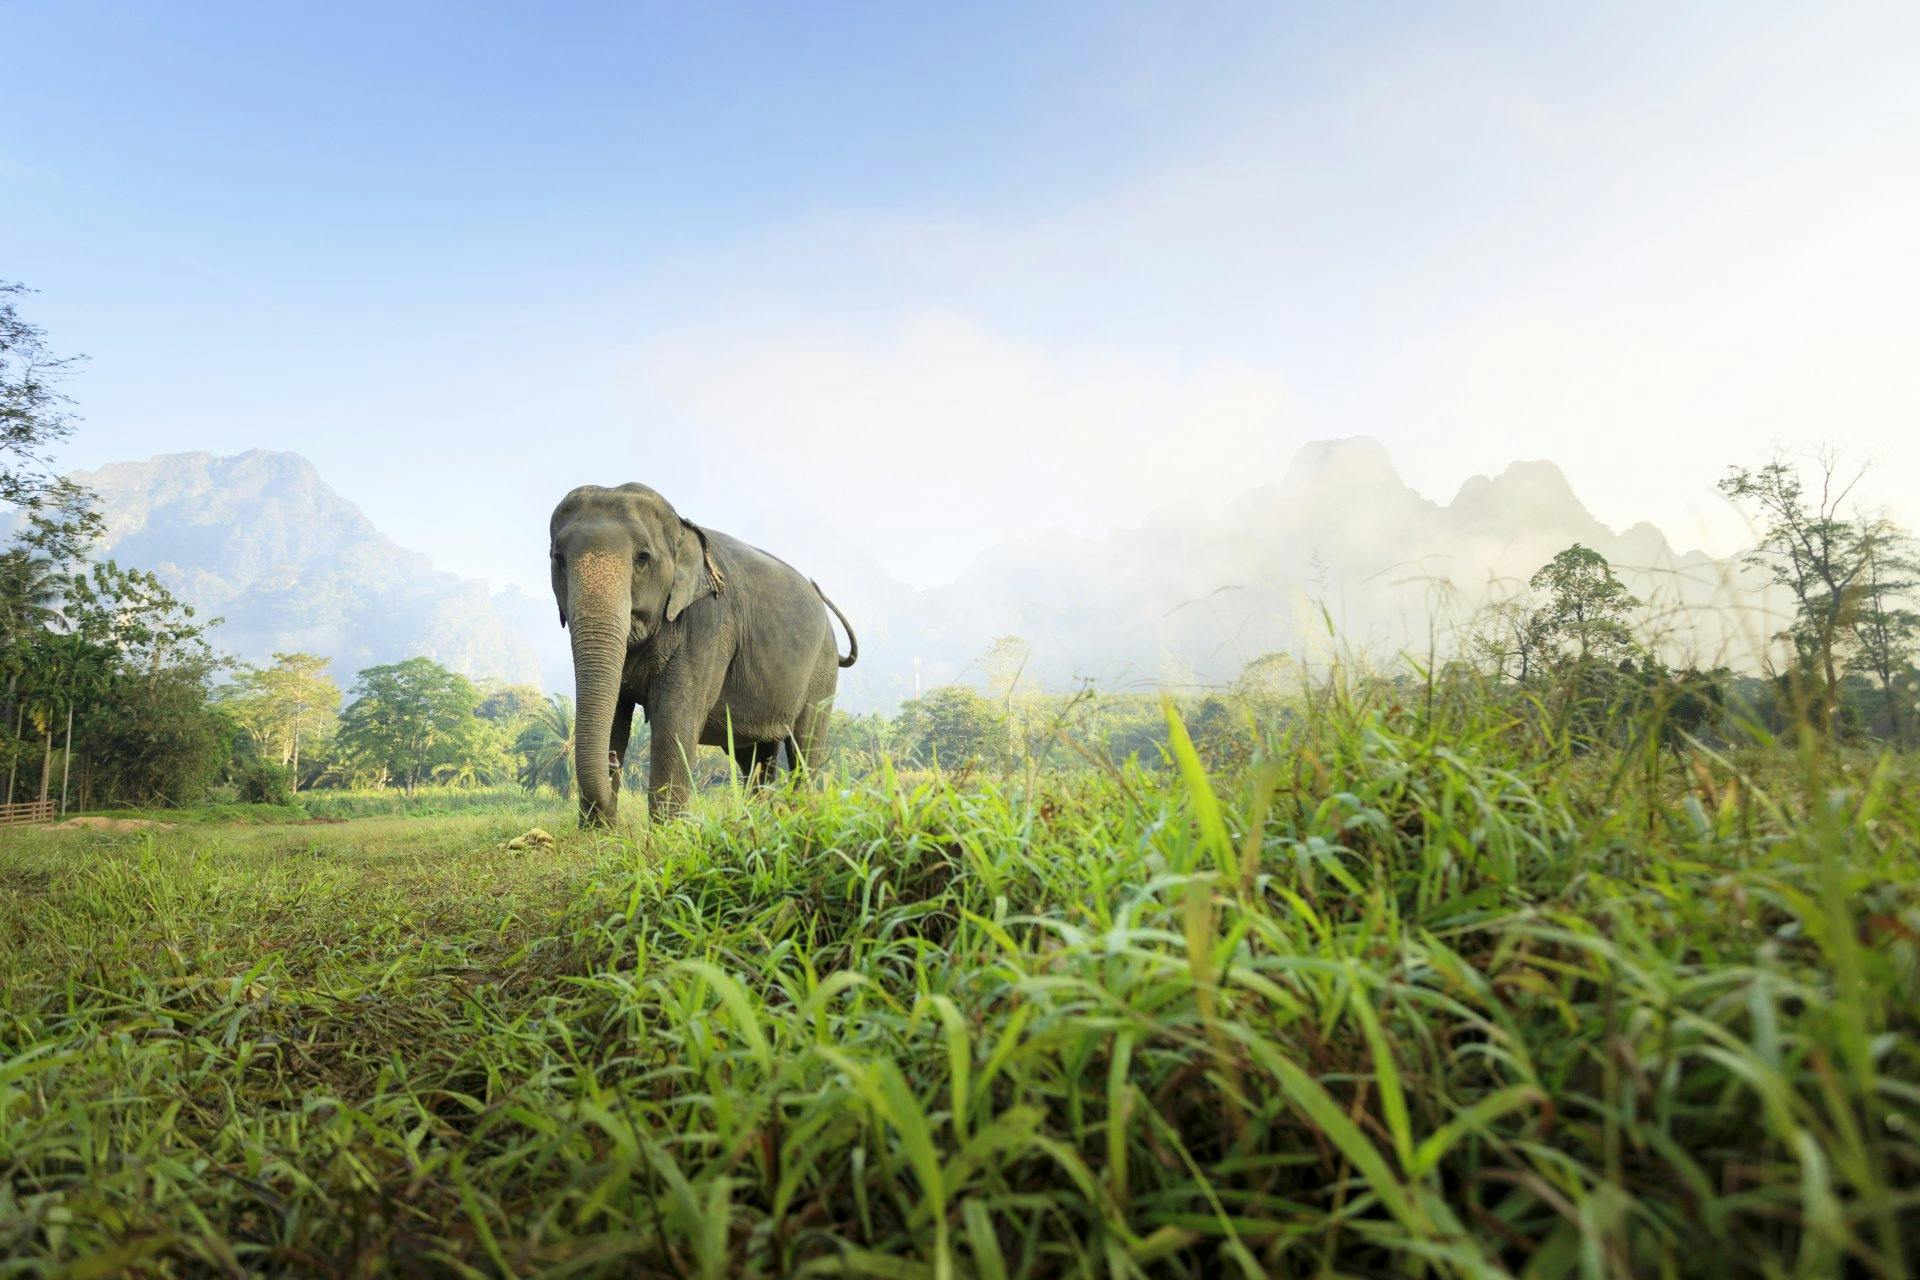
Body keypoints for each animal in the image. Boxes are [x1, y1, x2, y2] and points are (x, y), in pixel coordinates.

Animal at [549, 483, 857, 825]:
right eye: (558, 559)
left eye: (642, 559)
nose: (613, 761)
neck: (681, 527)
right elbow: (616, 712)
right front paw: (598, 833)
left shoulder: (707, 625)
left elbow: (674, 720)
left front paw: (667, 835)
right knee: (755, 758)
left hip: (821, 672)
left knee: (805, 747)